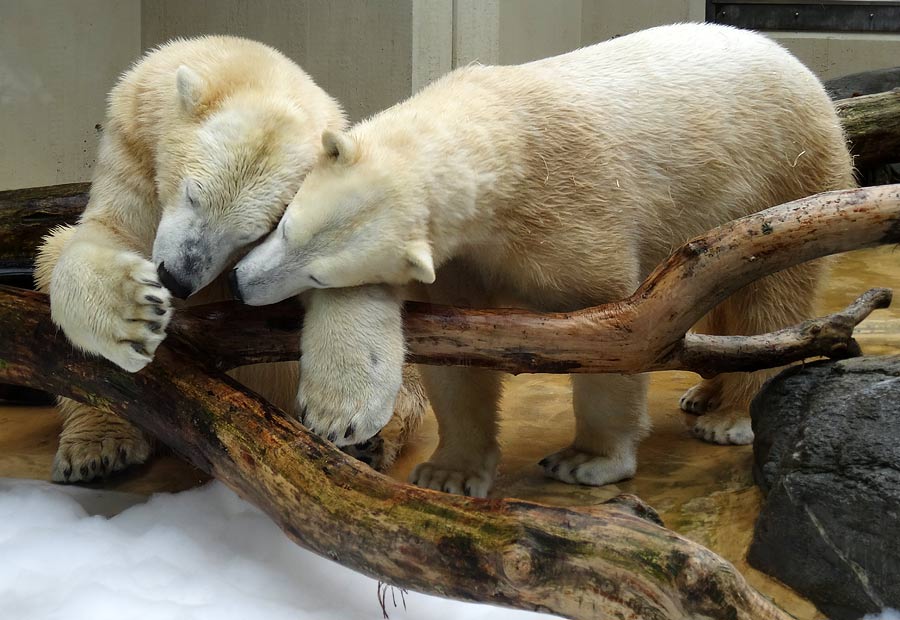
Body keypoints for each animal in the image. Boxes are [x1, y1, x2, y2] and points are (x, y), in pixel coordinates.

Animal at [34, 35, 426, 484]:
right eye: (193, 194)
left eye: (253, 233)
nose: (177, 279)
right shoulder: (134, 151)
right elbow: (106, 235)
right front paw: (138, 313)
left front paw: (343, 412)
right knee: (51, 254)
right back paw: (96, 447)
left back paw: (371, 445)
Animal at [230, 25, 852, 498]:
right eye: (285, 226)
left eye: (319, 271)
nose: (241, 283)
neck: (502, 132)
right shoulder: (464, 258)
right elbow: (456, 353)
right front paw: (450, 472)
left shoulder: (569, 211)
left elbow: (614, 329)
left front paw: (587, 460)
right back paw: (703, 395)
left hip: (784, 174)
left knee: (770, 295)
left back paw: (730, 418)